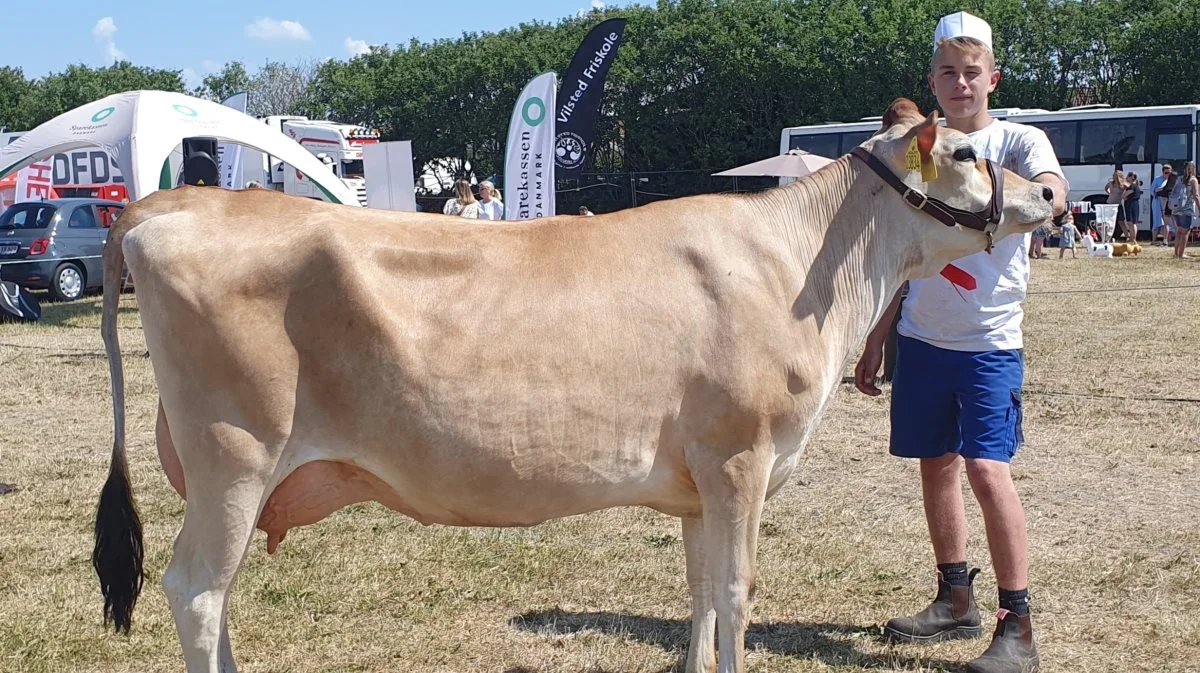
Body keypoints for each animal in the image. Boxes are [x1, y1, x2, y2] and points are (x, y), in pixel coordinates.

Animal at [91, 95, 1051, 671]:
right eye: (967, 150)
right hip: (234, 454)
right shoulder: (742, 456)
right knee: (195, 589)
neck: (799, 262)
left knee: (214, 591)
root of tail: (173, 203)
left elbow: (701, 595)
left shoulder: (702, 480)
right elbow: (736, 596)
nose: (1046, 192)